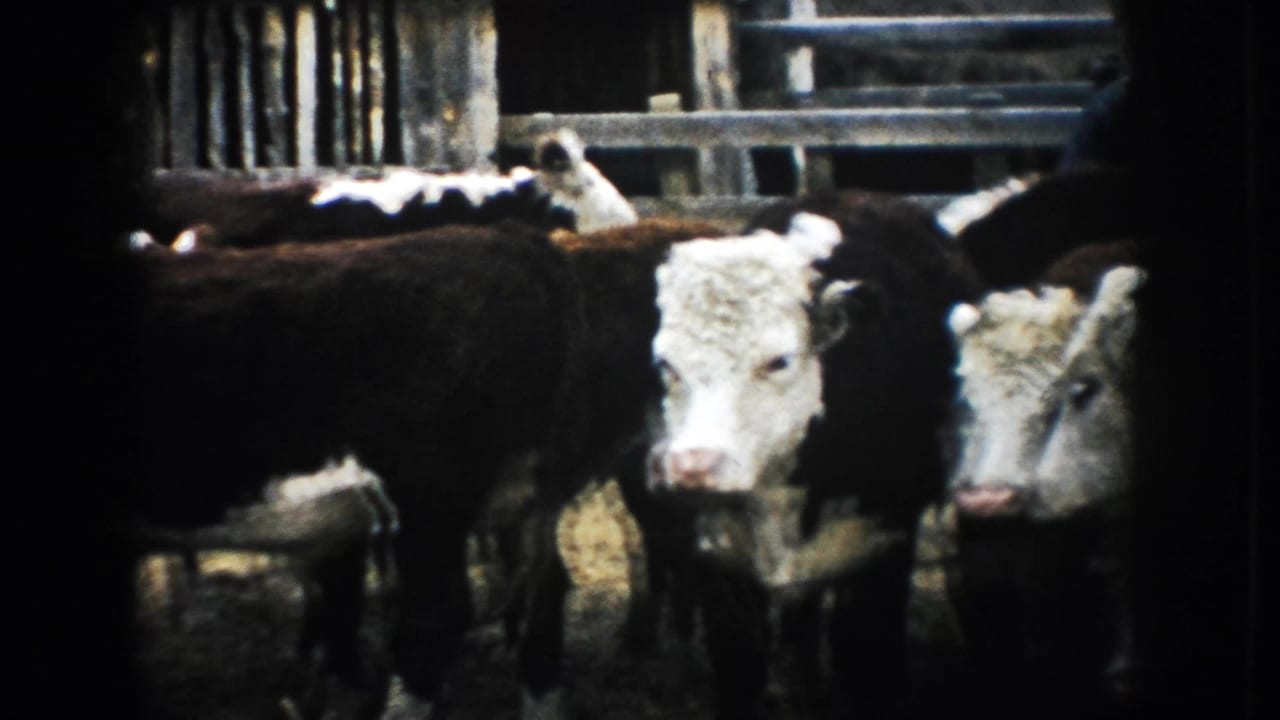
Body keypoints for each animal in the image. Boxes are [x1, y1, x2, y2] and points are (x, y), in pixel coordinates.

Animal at [644, 191, 984, 719]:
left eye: (778, 361)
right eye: (666, 364)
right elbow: (738, 665)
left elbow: (869, 663)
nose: (695, 465)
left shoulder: (882, 547)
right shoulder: (718, 562)